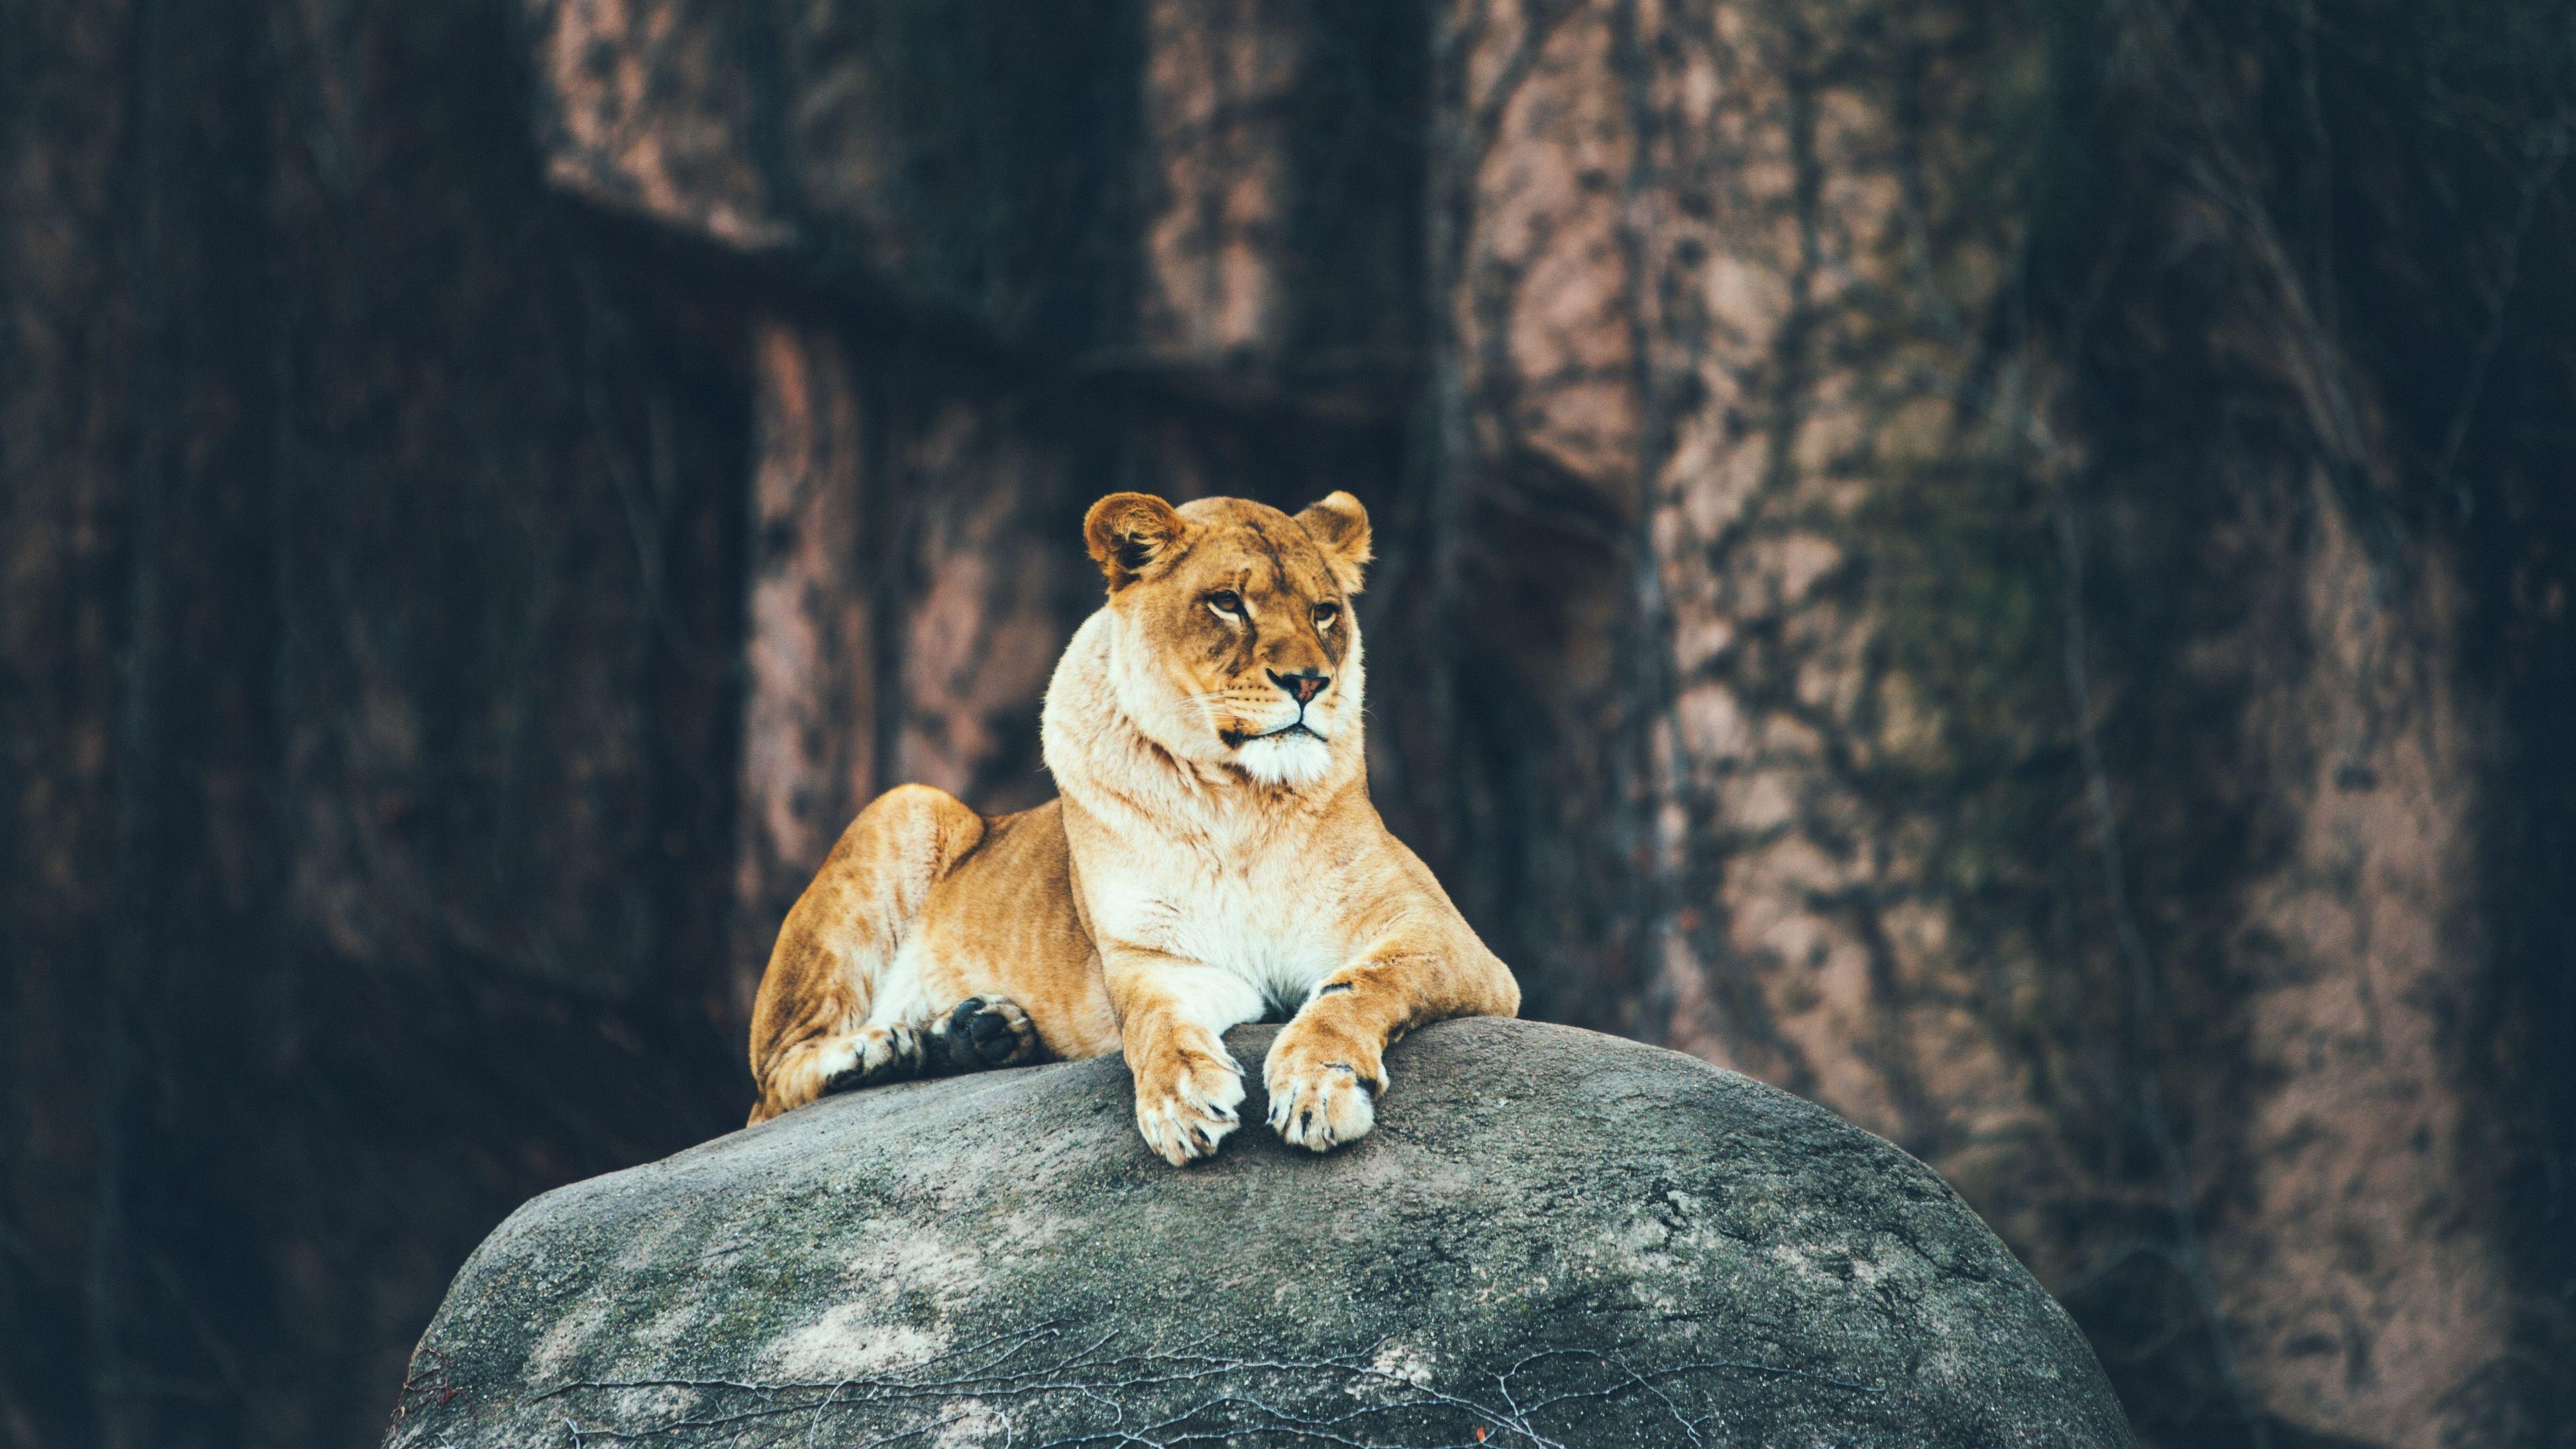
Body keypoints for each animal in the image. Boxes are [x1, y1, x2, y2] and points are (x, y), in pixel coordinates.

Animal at [744, 490, 1522, 1165]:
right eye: (1228, 603)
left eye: (1326, 612)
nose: (1309, 682)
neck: (1240, 802)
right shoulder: (1153, 954)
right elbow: (1154, 1023)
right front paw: (1180, 1102)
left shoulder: (1446, 939)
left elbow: (1360, 986)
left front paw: (1318, 1084)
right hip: (906, 804)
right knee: (773, 1085)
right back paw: (881, 1047)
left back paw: (975, 1034)